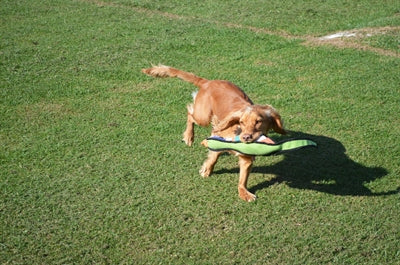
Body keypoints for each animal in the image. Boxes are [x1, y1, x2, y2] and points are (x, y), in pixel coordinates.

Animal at [142, 64, 286, 200]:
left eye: (258, 121)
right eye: (242, 122)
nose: (246, 137)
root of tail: (208, 82)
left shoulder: (246, 157)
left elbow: (243, 177)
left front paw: (244, 193)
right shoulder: (218, 137)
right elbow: (213, 157)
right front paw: (206, 169)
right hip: (203, 116)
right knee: (190, 113)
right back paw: (189, 136)